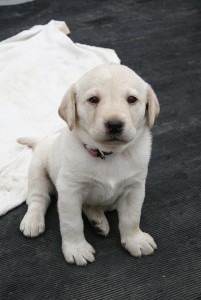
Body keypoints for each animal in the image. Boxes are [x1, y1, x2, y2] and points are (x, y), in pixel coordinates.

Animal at [18, 64, 160, 266]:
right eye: (94, 100)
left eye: (131, 99)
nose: (114, 124)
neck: (107, 154)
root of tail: (41, 142)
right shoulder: (69, 190)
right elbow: (72, 223)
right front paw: (77, 249)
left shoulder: (135, 188)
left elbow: (131, 218)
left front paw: (135, 239)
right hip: (38, 169)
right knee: (38, 199)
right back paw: (33, 220)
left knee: (91, 205)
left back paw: (98, 222)